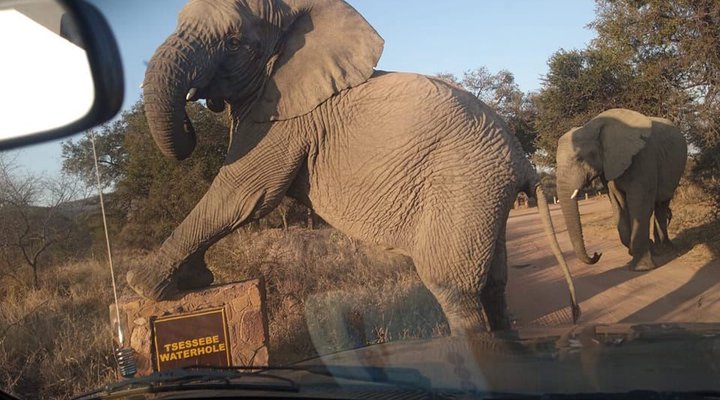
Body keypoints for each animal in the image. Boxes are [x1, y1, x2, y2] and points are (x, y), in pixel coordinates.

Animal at [127, 0, 580, 335]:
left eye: (235, 42)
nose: (194, 112)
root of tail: (523, 160)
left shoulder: (284, 119)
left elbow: (243, 192)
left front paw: (141, 284)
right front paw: (193, 282)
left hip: (465, 185)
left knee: (452, 288)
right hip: (484, 194)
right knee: (494, 284)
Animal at [555, 108, 688, 271]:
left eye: (579, 158)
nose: (597, 253)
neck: (592, 126)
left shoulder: (643, 158)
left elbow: (640, 204)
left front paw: (642, 267)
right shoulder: (609, 168)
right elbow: (618, 203)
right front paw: (638, 251)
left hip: (675, 171)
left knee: (662, 204)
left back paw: (666, 250)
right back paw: (658, 249)